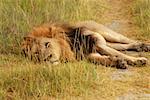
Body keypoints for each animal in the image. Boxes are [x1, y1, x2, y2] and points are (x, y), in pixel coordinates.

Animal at [21, 20, 150, 69]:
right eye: (36, 53)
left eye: (47, 44)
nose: (47, 58)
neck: (69, 48)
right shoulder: (87, 54)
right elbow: (101, 59)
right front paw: (118, 62)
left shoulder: (96, 45)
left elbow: (122, 54)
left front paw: (138, 60)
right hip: (107, 41)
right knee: (120, 46)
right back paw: (140, 47)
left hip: (108, 34)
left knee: (126, 40)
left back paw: (144, 45)